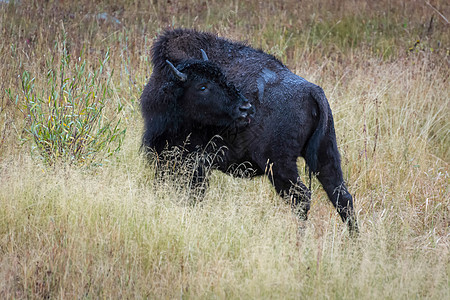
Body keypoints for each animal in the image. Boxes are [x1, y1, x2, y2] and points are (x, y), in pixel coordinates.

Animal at [141, 28, 358, 233]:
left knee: (302, 198)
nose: (245, 107)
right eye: (203, 86)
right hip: (326, 156)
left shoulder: (192, 162)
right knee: (342, 198)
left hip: (279, 165)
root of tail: (313, 91)